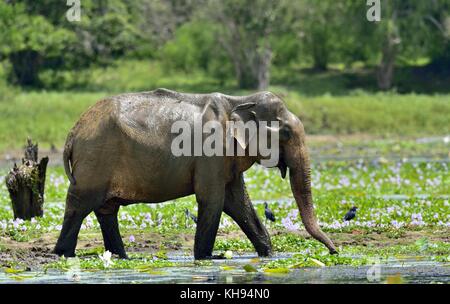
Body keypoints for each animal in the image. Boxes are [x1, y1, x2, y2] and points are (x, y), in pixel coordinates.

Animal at [54, 87, 336, 258]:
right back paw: (62, 254)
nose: (335, 252)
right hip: (95, 160)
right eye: (286, 133)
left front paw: (269, 255)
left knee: (106, 210)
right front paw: (207, 258)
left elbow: (238, 202)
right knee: (79, 205)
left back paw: (119, 257)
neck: (240, 101)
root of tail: (72, 133)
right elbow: (213, 200)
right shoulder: (211, 153)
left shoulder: (226, 158)